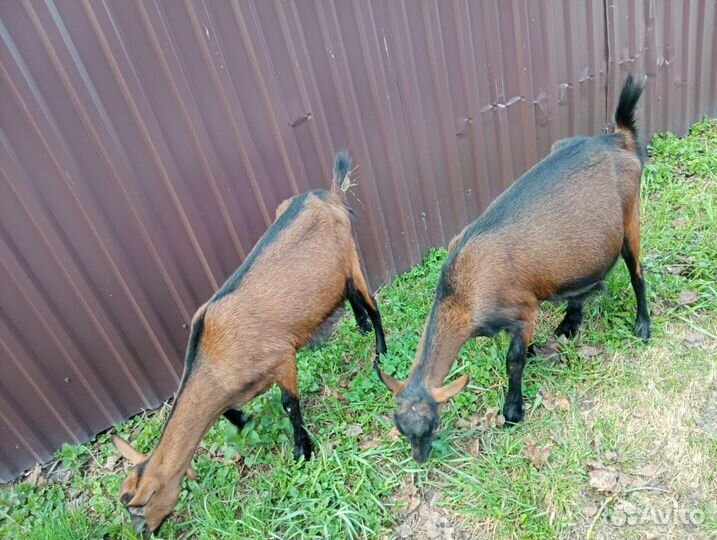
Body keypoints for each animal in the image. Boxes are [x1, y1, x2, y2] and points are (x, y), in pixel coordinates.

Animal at [112, 152, 386, 537]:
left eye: (139, 507)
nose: (142, 532)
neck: (213, 356)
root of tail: (327, 195)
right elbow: (231, 411)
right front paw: (246, 422)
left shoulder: (281, 357)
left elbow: (289, 404)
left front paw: (303, 450)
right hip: (333, 272)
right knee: (348, 294)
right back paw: (359, 326)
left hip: (350, 255)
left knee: (371, 302)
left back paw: (381, 351)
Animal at [377, 75, 650, 463]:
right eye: (401, 427)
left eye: (431, 425)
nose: (420, 457)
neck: (463, 291)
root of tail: (619, 138)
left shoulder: (522, 310)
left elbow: (514, 360)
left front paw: (512, 411)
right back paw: (570, 323)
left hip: (630, 218)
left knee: (638, 273)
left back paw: (643, 326)